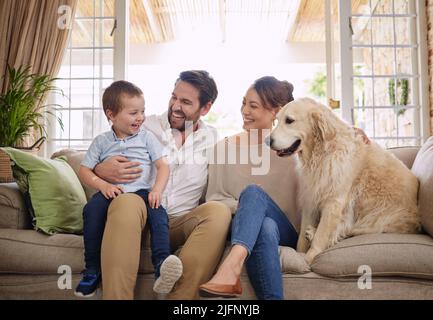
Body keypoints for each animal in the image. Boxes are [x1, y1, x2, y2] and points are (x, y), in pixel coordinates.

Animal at [266, 98, 418, 264]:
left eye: (289, 121)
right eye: (277, 120)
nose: (267, 141)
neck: (321, 153)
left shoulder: (334, 201)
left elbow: (321, 236)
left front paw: (309, 259)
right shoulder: (311, 198)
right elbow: (301, 239)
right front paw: (298, 255)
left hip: (378, 217)